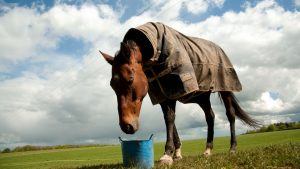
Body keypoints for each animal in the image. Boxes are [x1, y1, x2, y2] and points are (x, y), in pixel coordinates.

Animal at [99, 22, 258, 165]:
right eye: (112, 85)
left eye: (130, 79)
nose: (126, 126)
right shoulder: (164, 95)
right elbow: (170, 119)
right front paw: (176, 154)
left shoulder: (175, 88)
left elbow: (170, 119)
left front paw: (167, 154)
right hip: (202, 97)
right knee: (210, 117)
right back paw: (207, 150)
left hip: (225, 89)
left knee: (230, 115)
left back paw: (232, 148)